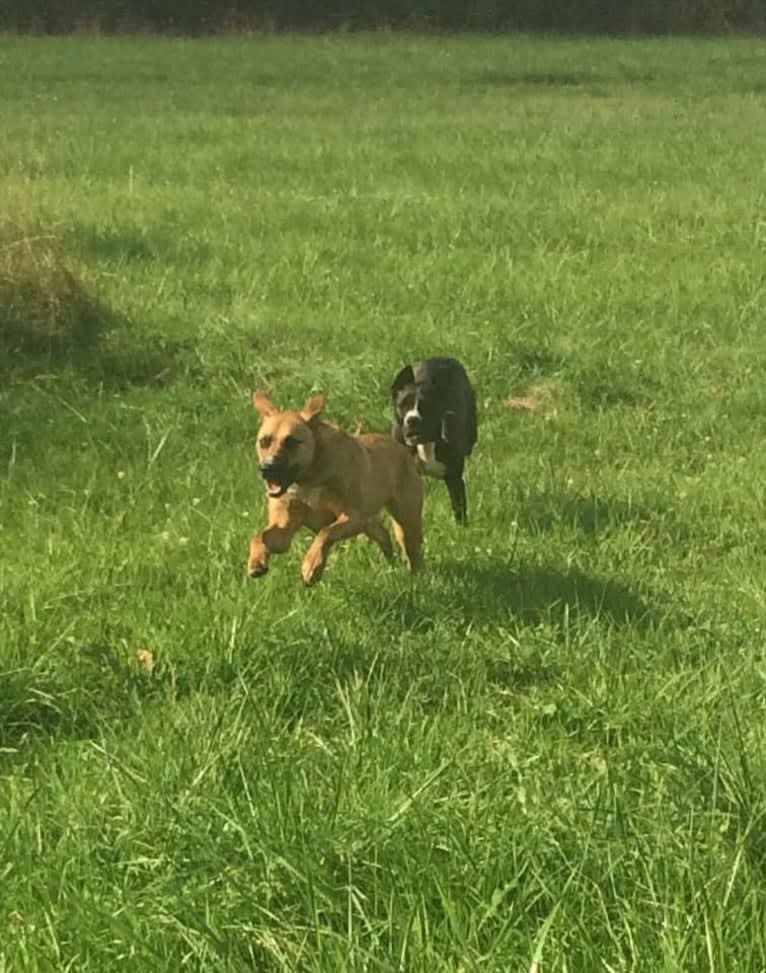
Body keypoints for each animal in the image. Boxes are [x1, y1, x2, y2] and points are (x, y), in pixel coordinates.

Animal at [248, 390, 424, 584]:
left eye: (292, 441)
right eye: (264, 441)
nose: (266, 469)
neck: (310, 477)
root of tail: (401, 449)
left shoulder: (352, 516)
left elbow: (326, 532)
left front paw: (312, 566)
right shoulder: (284, 529)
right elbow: (260, 536)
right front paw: (256, 561)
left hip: (405, 520)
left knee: (412, 551)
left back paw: (416, 577)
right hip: (368, 523)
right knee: (383, 535)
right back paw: (391, 565)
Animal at [392, 356, 476, 524]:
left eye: (426, 406)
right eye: (403, 405)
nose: (412, 420)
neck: (425, 443)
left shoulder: (454, 478)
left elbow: (459, 508)